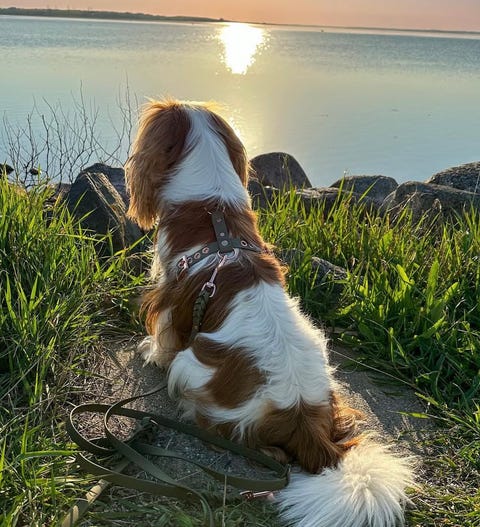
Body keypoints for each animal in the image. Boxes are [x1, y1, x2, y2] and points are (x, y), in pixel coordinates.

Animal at [125, 98, 413, 527]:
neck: (214, 214)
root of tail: (302, 419)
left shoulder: (169, 294)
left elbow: (163, 335)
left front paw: (150, 352)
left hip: (190, 369)